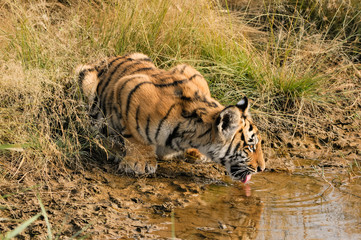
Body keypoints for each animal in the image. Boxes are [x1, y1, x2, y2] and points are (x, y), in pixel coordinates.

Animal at [76, 52, 262, 183]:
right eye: (250, 147)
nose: (261, 168)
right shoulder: (129, 86)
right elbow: (134, 134)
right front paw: (140, 163)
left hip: (186, 68)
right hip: (84, 78)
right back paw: (111, 146)